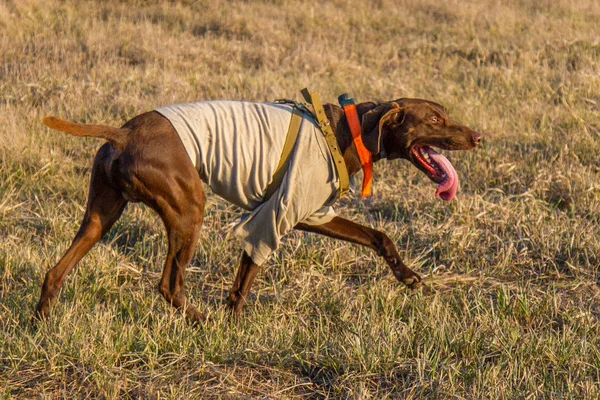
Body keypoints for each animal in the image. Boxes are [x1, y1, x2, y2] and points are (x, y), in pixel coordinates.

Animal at [35, 97, 480, 324]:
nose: (478, 136)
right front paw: (231, 325)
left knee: (55, 271)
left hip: (101, 215)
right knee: (169, 285)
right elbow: (248, 274)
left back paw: (42, 324)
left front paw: (408, 277)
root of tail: (123, 133)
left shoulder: (311, 213)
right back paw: (201, 321)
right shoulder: (277, 214)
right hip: (188, 210)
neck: (345, 131)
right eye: (435, 118)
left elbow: (378, 236)